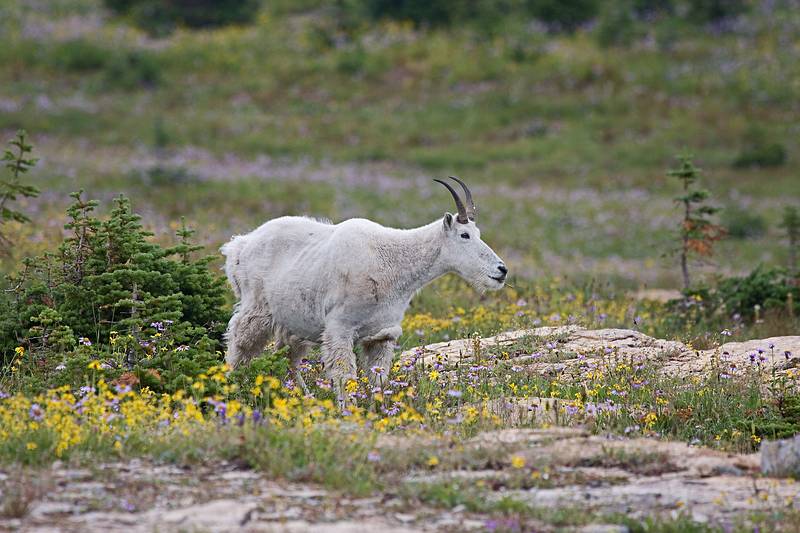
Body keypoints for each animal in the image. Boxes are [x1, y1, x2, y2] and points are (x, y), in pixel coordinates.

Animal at [219, 176, 506, 404]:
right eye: (464, 235)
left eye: (478, 232)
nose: (501, 270)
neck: (392, 260)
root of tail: (238, 247)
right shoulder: (339, 328)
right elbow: (345, 375)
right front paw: (349, 411)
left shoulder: (382, 335)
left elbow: (378, 379)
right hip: (255, 308)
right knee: (238, 345)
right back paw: (227, 387)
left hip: (292, 324)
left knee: (289, 359)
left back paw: (307, 398)